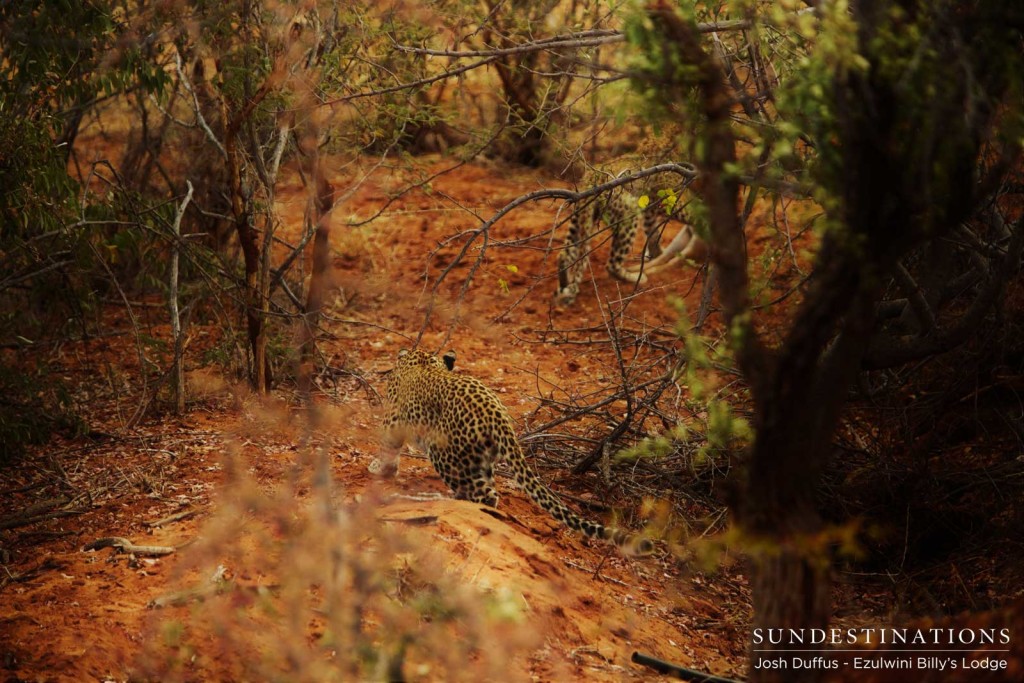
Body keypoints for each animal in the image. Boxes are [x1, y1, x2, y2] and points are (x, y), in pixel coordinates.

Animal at [380, 348, 651, 557]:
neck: (424, 359)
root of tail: (495, 413)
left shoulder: (393, 419)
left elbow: (387, 446)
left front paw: (380, 470)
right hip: (478, 458)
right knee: (487, 491)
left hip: (444, 454)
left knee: (483, 494)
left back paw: (455, 500)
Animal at [552, 163, 704, 305]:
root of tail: (591, 178)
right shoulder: (667, 198)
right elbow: (689, 213)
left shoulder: (651, 206)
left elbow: (653, 232)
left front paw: (656, 254)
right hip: (628, 213)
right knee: (612, 264)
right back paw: (635, 277)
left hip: (581, 217)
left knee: (566, 253)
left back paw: (564, 283)